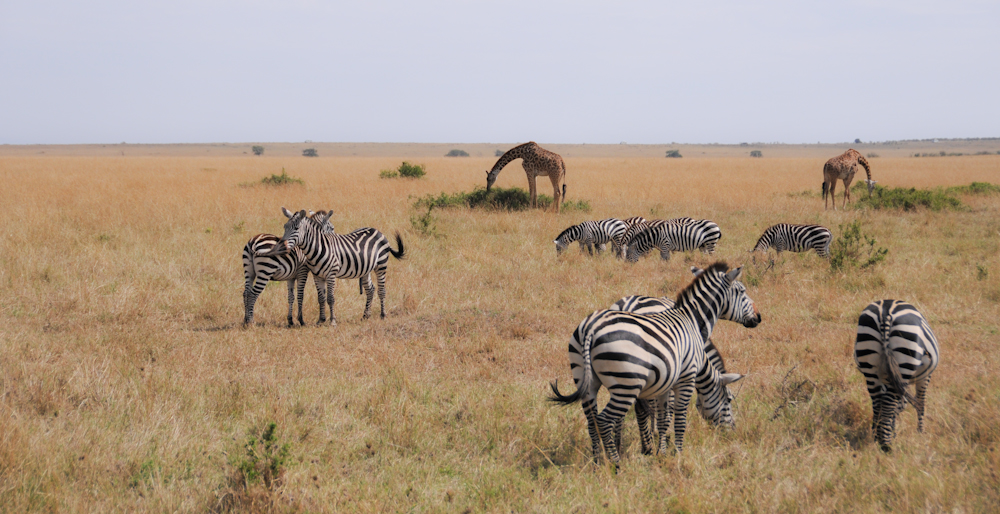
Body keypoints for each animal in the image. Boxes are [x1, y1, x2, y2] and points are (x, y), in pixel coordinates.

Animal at [266, 207, 410, 324]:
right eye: (285, 227)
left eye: (296, 228)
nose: (280, 247)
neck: (317, 248)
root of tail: (377, 230)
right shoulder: (317, 276)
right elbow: (321, 298)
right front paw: (321, 320)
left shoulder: (331, 274)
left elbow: (330, 298)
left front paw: (332, 321)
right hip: (365, 269)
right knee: (370, 289)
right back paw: (365, 316)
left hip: (381, 265)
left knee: (381, 290)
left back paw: (383, 315)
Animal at [548, 260, 756, 464]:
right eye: (729, 399)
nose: (732, 432)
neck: (692, 321)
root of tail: (591, 328)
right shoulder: (686, 378)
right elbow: (679, 418)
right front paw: (677, 454)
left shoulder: (665, 381)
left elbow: (664, 417)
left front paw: (661, 451)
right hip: (626, 385)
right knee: (604, 420)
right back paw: (616, 464)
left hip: (586, 379)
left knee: (592, 420)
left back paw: (598, 462)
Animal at [856, 298, 940, 450]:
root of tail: (886, 313)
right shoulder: (926, 376)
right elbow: (921, 401)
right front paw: (921, 432)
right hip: (904, 358)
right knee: (889, 405)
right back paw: (886, 445)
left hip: (869, 364)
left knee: (878, 403)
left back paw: (877, 437)